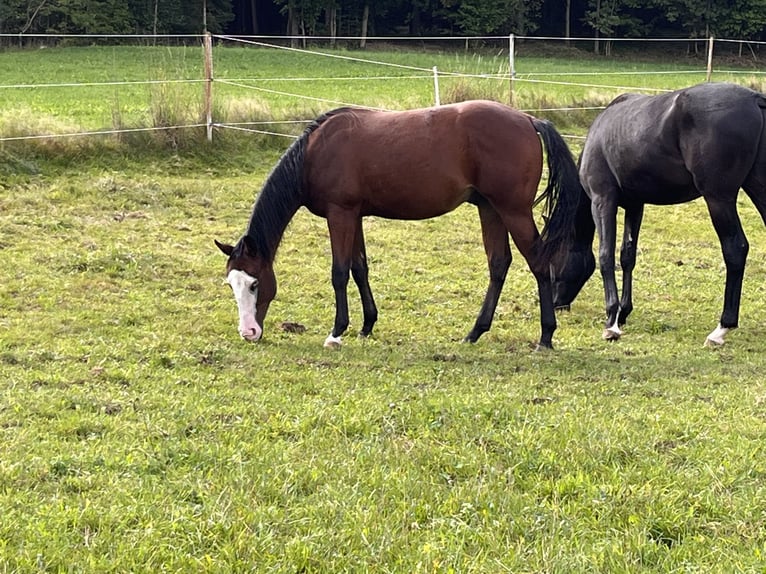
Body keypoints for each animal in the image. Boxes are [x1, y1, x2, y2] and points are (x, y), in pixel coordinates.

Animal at [215, 100, 583, 350]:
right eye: (232, 284)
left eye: (254, 283)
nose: (248, 332)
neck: (314, 153)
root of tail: (529, 120)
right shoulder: (355, 215)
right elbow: (359, 268)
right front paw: (366, 326)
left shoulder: (341, 213)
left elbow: (339, 272)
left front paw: (337, 332)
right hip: (491, 209)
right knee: (499, 264)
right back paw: (475, 332)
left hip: (513, 211)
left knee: (539, 263)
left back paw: (545, 336)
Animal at [551, 82, 766, 346]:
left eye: (553, 258)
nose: (556, 304)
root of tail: (754, 98)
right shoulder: (635, 205)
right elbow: (627, 256)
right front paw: (624, 312)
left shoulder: (603, 201)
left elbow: (605, 255)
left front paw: (612, 322)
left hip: (718, 198)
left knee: (735, 249)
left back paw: (721, 329)